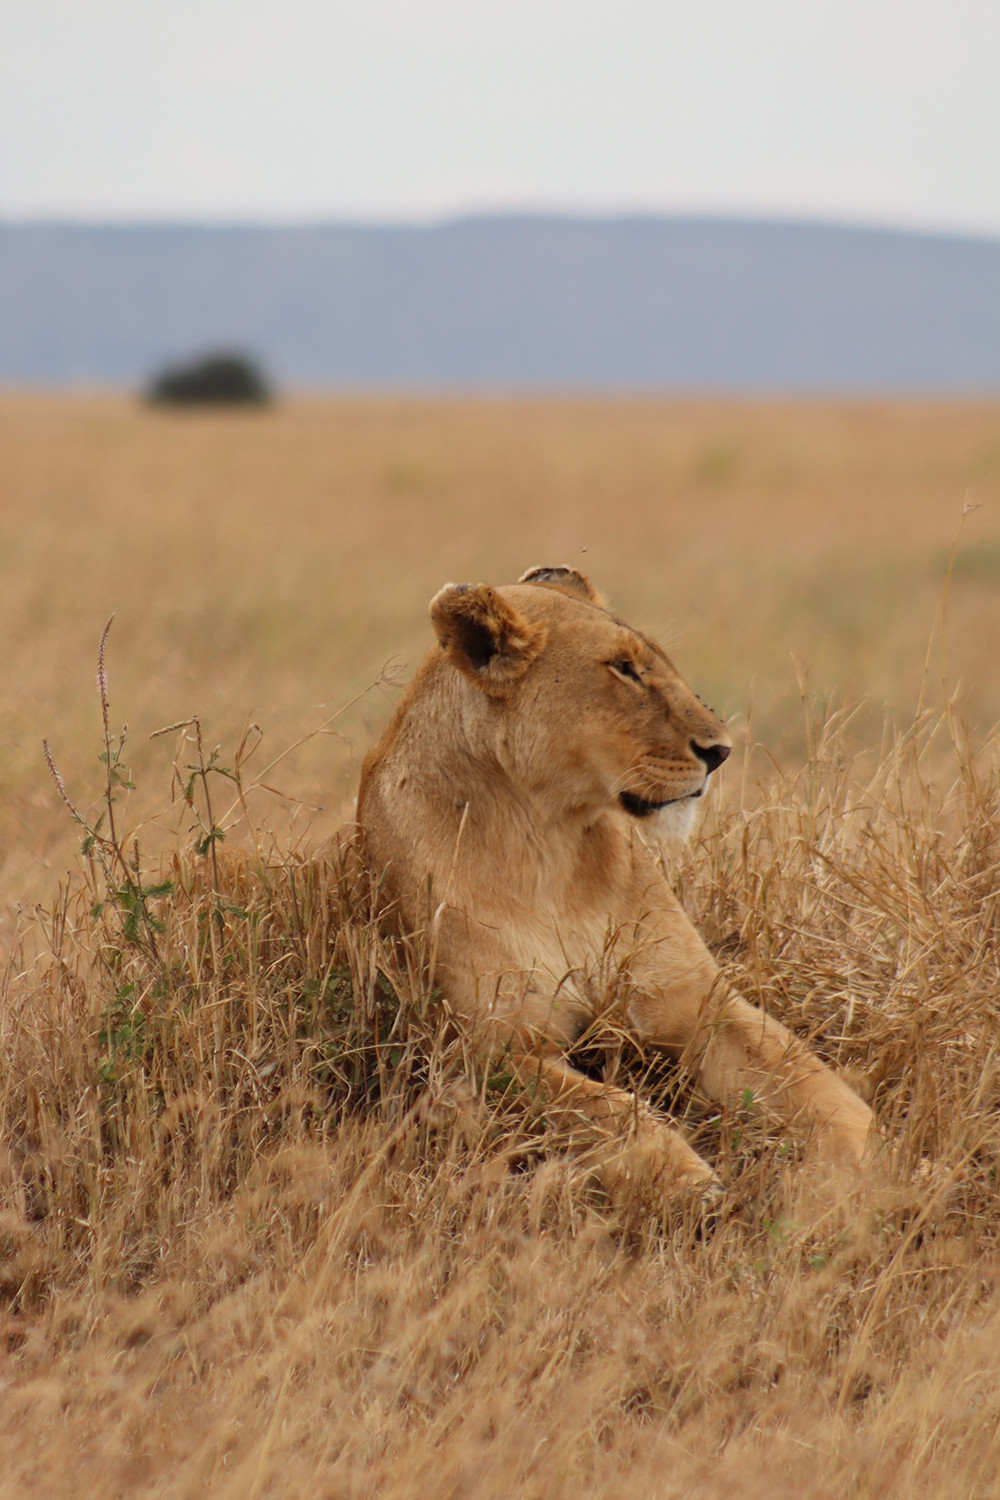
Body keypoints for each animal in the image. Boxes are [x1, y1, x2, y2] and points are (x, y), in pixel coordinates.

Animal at [352, 565, 874, 1204]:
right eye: (622, 668)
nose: (721, 751)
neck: (547, 844)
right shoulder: (484, 1049)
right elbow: (605, 1110)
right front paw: (689, 1184)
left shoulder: (695, 997)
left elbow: (812, 1082)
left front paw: (846, 1180)